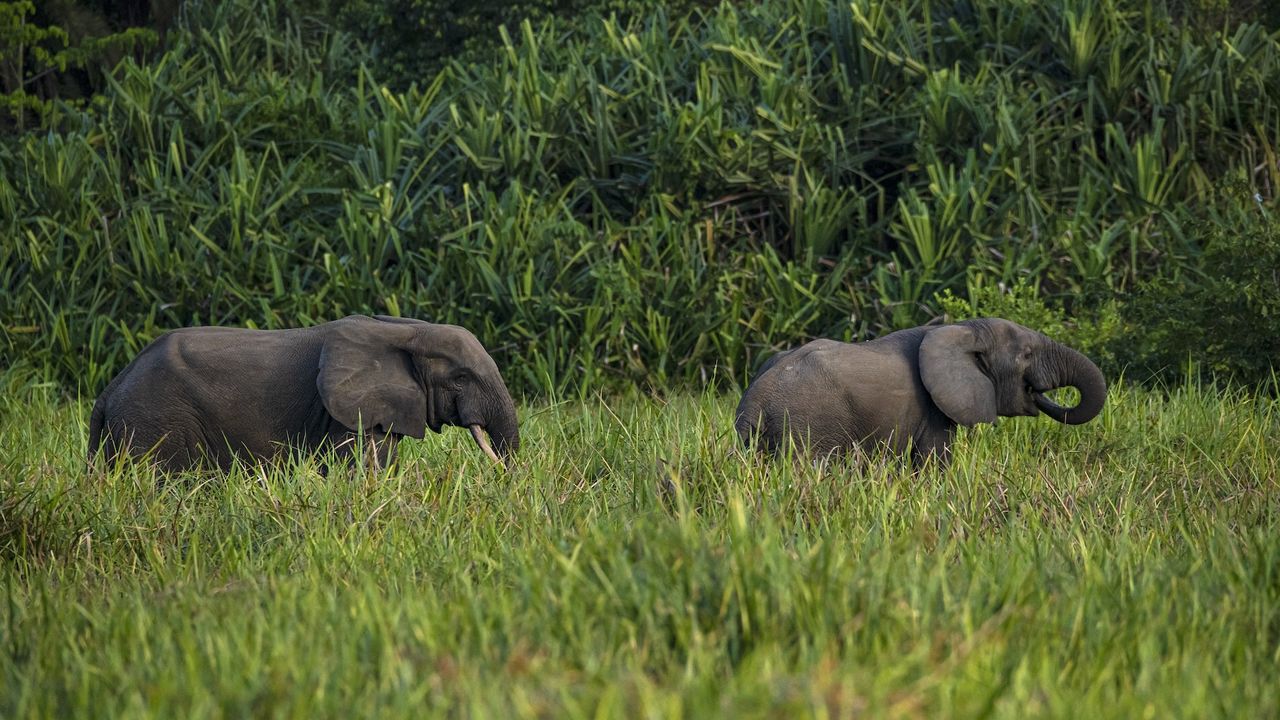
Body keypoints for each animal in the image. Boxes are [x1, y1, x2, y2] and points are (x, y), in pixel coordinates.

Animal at [734, 318, 1106, 465]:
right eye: (1026, 354)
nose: (1036, 393)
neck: (963, 329)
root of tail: (756, 399)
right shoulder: (932, 409)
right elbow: (933, 462)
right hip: (809, 426)